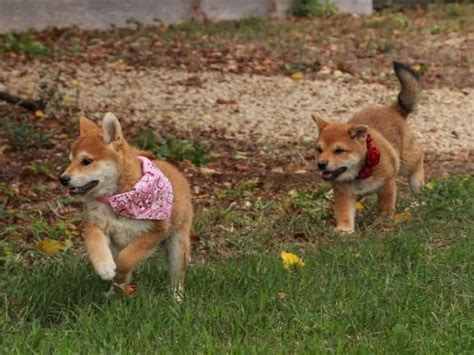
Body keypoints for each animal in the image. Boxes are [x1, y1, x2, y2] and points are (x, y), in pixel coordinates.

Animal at [312, 61, 424, 234]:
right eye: (319, 150)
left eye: (339, 151)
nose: (321, 164)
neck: (360, 173)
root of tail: (392, 109)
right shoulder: (343, 193)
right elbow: (344, 213)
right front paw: (344, 230)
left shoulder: (387, 185)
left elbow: (385, 208)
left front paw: (381, 225)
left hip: (407, 162)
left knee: (418, 165)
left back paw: (420, 191)